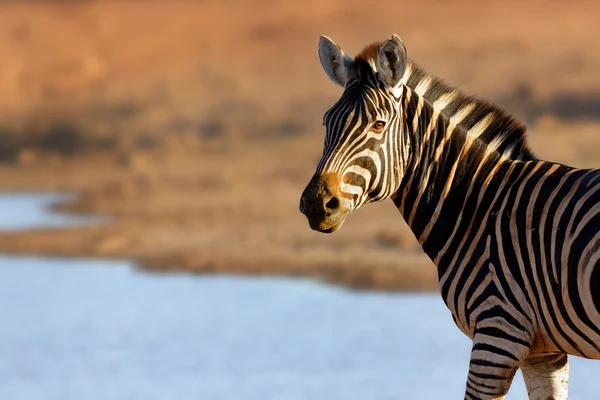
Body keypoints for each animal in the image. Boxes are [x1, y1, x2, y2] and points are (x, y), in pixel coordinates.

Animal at [298, 32, 600, 398]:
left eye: (378, 125)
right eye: (326, 122)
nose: (315, 203)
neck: (480, 206)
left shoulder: (498, 331)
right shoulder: (543, 351)